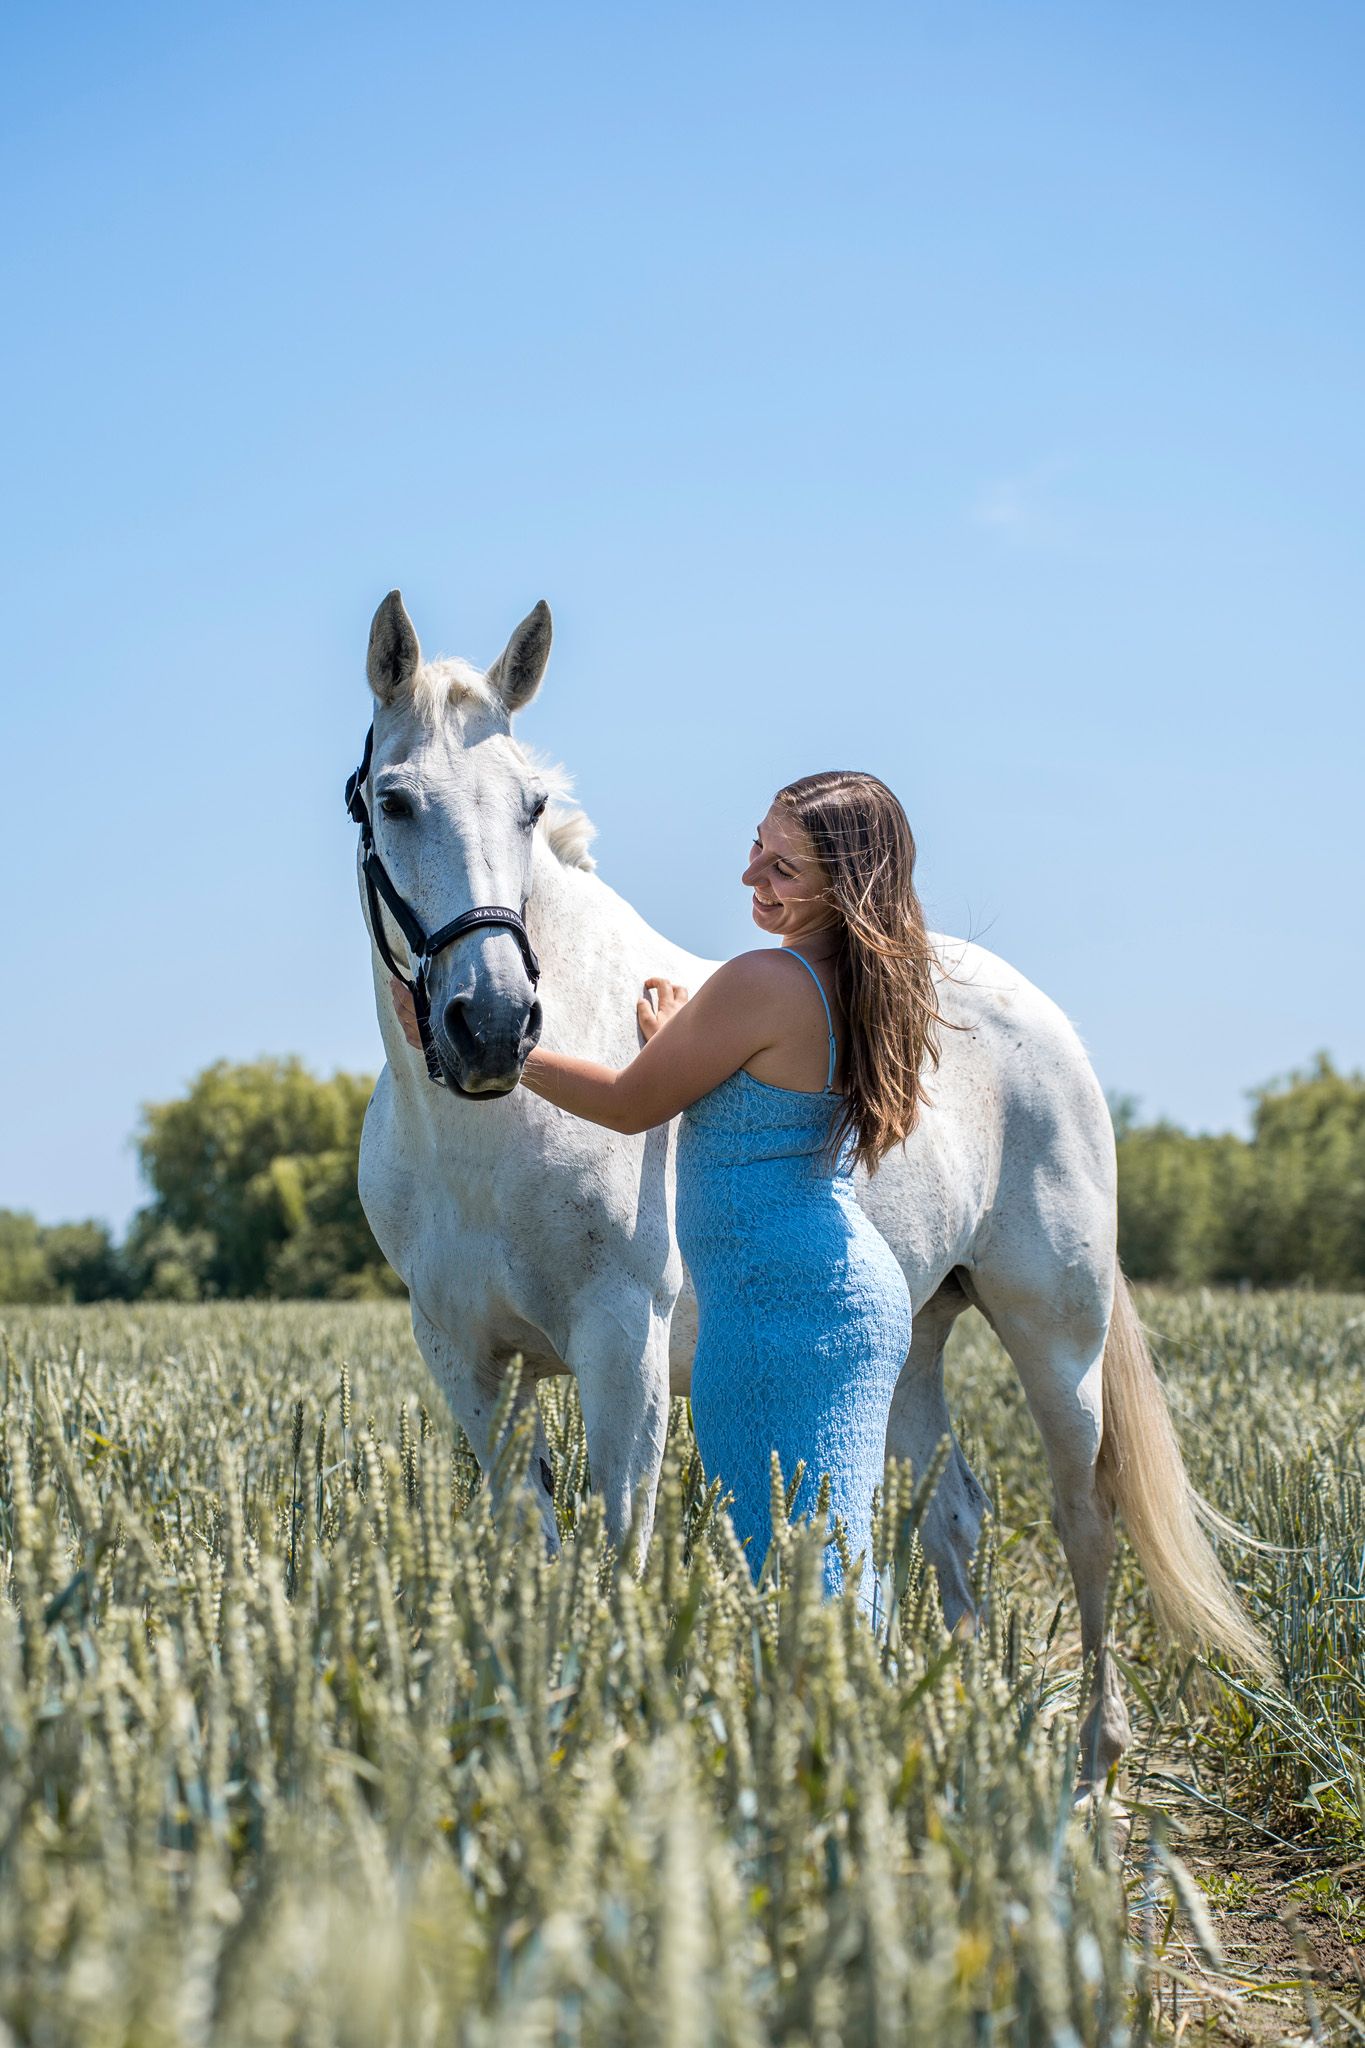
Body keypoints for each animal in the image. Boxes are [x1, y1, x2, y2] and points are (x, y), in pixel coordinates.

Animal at [350, 588, 1270, 1785]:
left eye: (529, 805)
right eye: (395, 799)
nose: (494, 1024)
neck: (485, 1141)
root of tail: (1040, 1019)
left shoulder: (622, 1347)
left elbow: (621, 1552)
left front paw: (619, 1728)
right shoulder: (467, 1359)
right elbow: (533, 1553)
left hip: (1056, 1336)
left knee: (1084, 1518)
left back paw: (1092, 1762)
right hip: (918, 1337)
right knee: (952, 1518)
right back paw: (953, 1731)